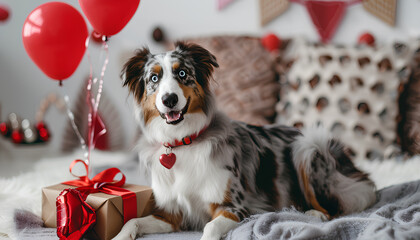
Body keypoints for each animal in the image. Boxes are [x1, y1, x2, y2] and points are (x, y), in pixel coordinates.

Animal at [113, 42, 376, 239]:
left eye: (182, 73)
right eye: (154, 78)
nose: (169, 99)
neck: (184, 142)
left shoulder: (234, 207)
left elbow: (209, 227)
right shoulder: (172, 214)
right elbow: (132, 221)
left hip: (309, 145)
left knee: (334, 208)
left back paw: (311, 214)